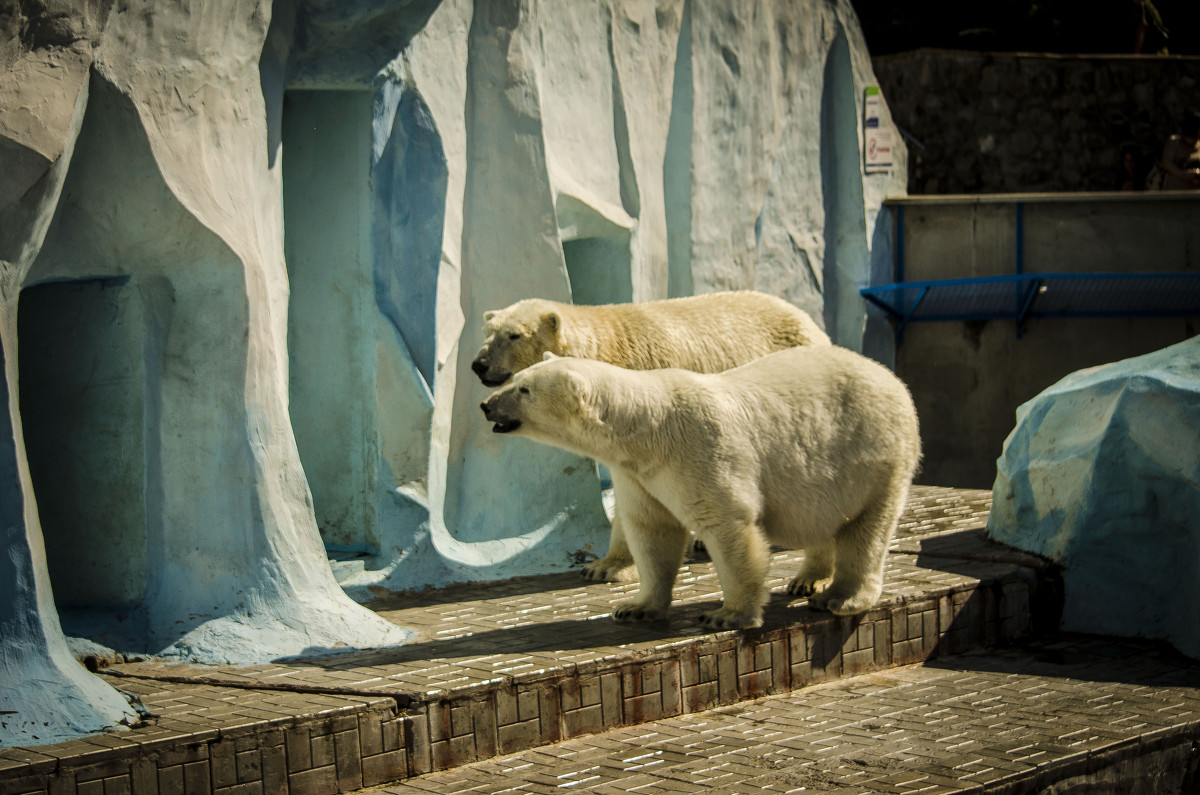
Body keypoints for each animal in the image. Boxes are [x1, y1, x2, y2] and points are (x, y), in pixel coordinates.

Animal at [468, 289, 825, 583]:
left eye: (514, 335)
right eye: (487, 333)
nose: (479, 364)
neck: (607, 349)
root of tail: (807, 319)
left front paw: (612, 567)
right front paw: (603, 564)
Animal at [477, 348, 916, 629]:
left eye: (524, 390)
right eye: (516, 379)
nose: (486, 405)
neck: (647, 430)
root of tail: (892, 377)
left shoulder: (700, 450)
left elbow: (727, 523)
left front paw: (728, 615)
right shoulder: (639, 474)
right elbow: (653, 530)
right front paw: (636, 607)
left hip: (874, 455)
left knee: (867, 529)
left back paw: (839, 597)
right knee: (822, 518)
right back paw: (807, 579)